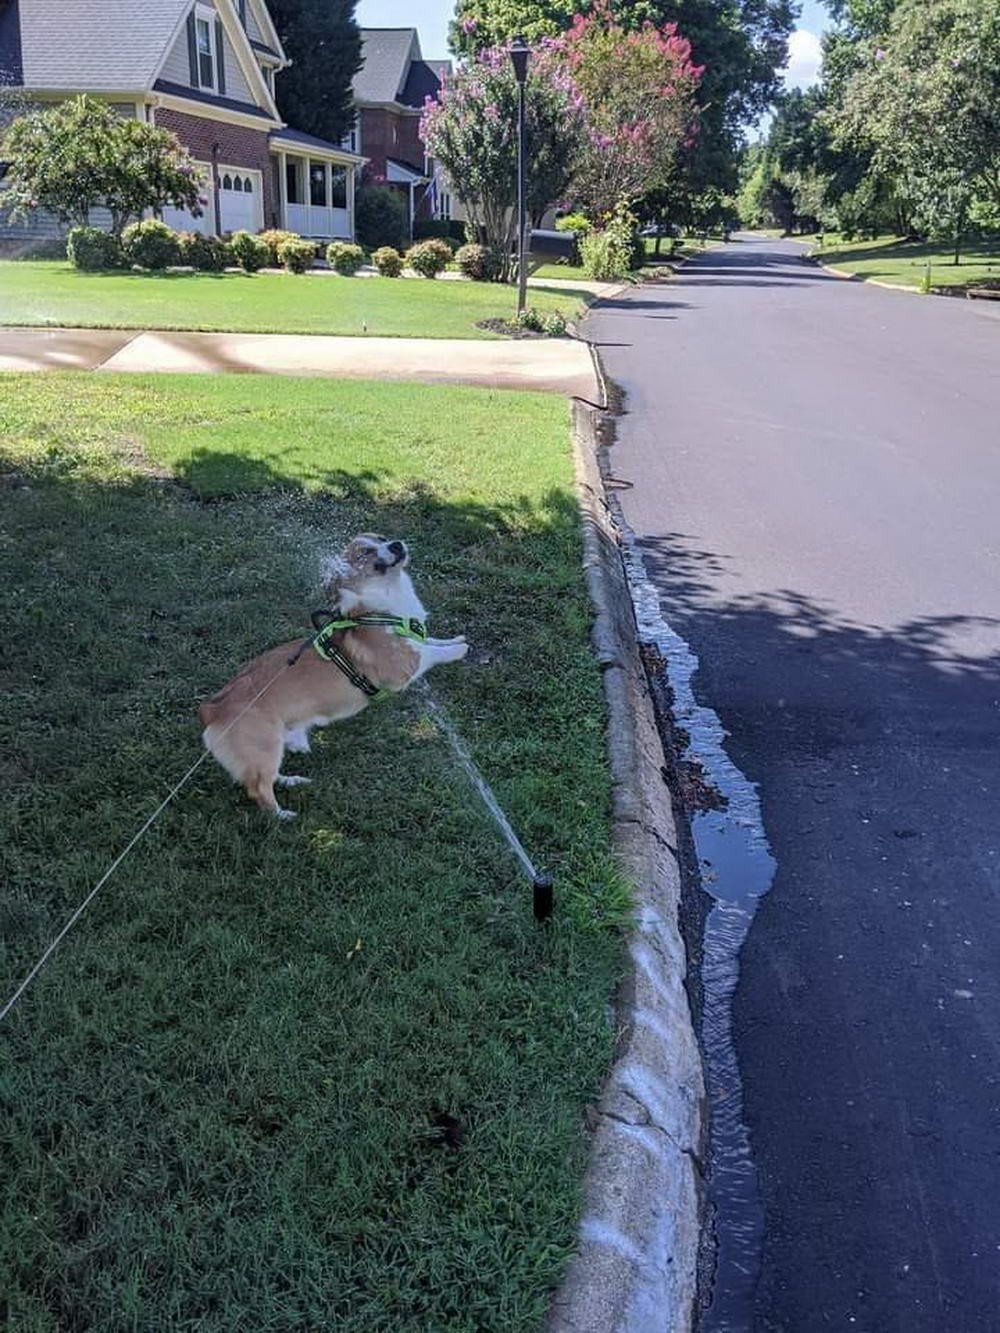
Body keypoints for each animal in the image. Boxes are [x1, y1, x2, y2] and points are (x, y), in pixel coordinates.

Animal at [201, 535, 472, 815]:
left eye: (382, 539)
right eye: (366, 552)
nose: (396, 544)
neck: (384, 602)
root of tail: (211, 709)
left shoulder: (413, 641)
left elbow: (430, 640)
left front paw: (454, 639)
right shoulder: (402, 665)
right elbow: (431, 651)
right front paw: (459, 649)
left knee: (268, 777)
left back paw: (292, 780)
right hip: (264, 746)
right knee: (259, 789)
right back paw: (283, 815)